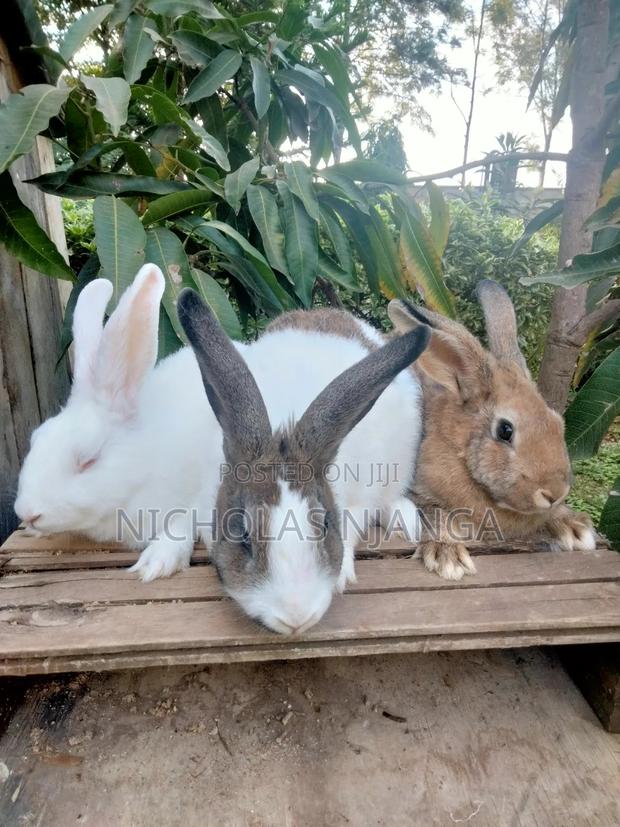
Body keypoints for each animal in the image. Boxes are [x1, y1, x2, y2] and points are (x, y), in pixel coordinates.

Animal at [14, 264, 225, 582]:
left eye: (88, 460)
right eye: (36, 438)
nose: (27, 513)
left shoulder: (197, 494)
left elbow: (182, 523)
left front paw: (155, 563)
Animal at [178, 290, 430, 634]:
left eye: (324, 525)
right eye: (242, 535)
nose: (296, 619)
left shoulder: (361, 497)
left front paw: (342, 575)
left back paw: (404, 517)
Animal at [387, 279, 597, 581]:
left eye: (558, 422)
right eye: (505, 430)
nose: (554, 493)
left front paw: (574, 527)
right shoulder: (420, 493)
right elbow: (436, 517)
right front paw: (448, 556)